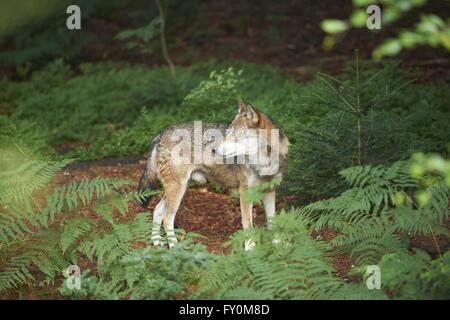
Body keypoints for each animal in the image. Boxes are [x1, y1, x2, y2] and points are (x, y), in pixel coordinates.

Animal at [139, 100, 290, 250]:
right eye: (228, 133)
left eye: (236, 136)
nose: (214, 150)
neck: (265, 163)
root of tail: (161, 133)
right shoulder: (245, 192)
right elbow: (248, 224)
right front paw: (250, 249)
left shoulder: (270, 191)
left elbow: (273, 221)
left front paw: (278, 245)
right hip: (177, 190)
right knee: (167, 218)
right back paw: (174, 246)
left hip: (181, 188)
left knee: (157, 210)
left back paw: (156, 242)